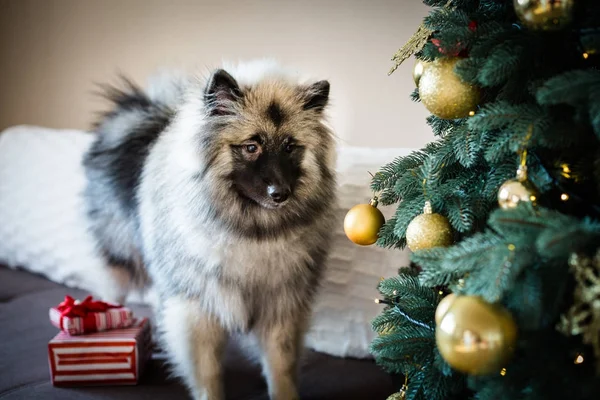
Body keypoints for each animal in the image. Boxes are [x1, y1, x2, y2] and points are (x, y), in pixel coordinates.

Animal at [81, 60, 338, 400]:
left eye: (289, 147)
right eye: (251, 147)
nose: (279, 193)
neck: (252, 232)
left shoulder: (281, 308)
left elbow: (280, 367)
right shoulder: (198, 311)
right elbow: (208, 372)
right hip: (121, 258)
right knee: (114, 288)